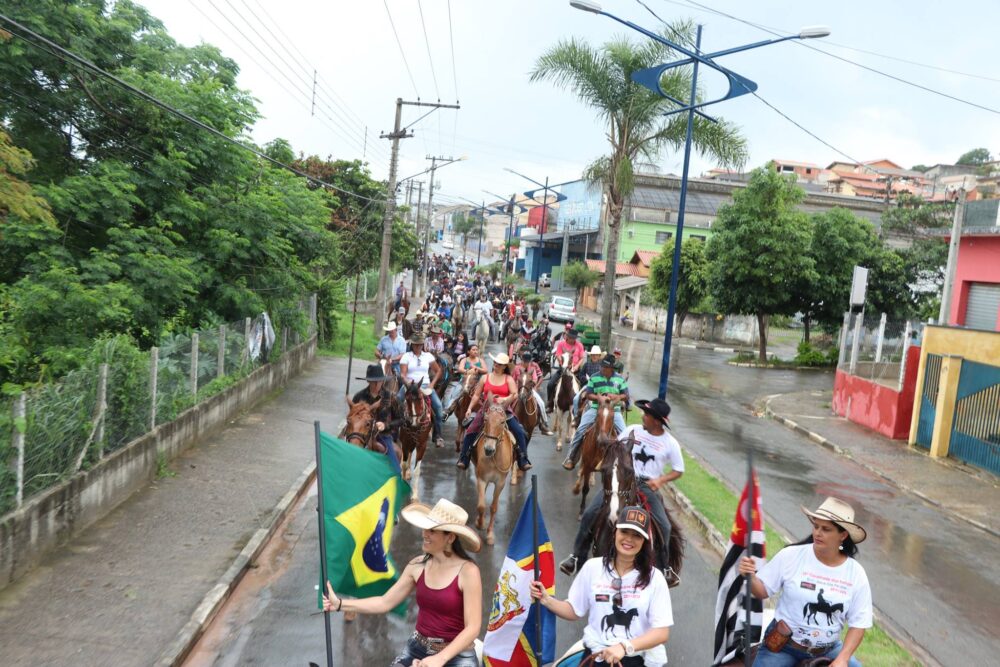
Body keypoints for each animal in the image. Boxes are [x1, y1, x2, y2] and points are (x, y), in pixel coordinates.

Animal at [472, 402, 516, 548]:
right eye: (486, 420)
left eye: (502, 422)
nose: (488, 449)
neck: (494, 457)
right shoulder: (481, 478)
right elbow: (481, 506)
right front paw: (480, 524)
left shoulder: (500, 483)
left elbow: (494, 507)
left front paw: (490, 535)